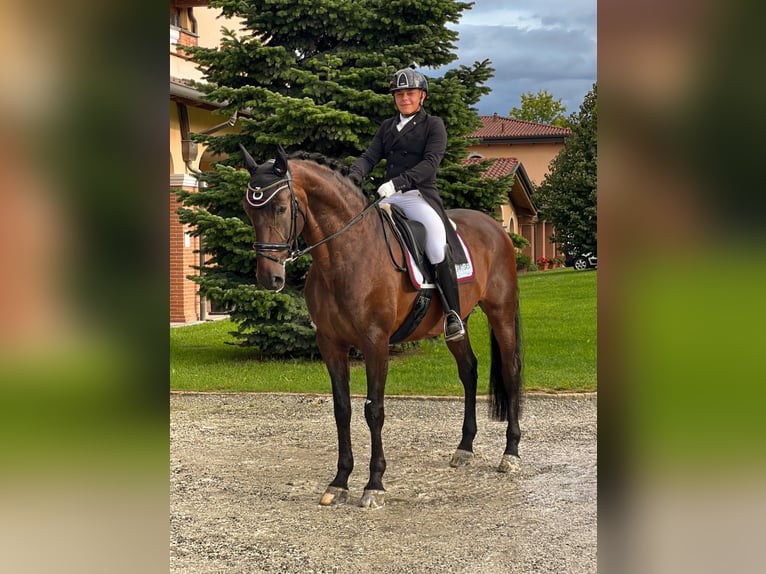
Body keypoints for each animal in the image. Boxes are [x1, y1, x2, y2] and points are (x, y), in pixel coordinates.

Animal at [239, 144, 523, 509]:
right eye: (248, 210)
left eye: (280, 207)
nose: (269, 278)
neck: (345, 254)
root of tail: (495, 226)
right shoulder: (331, 343)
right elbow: (342, 409)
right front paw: (340, 481)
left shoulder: (375, 342)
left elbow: (374, 410)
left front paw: (374, 485)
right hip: (456, 323)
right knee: (469, 371)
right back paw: (464, 449)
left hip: (501, 312)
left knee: (511, 371)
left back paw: (510, 453)